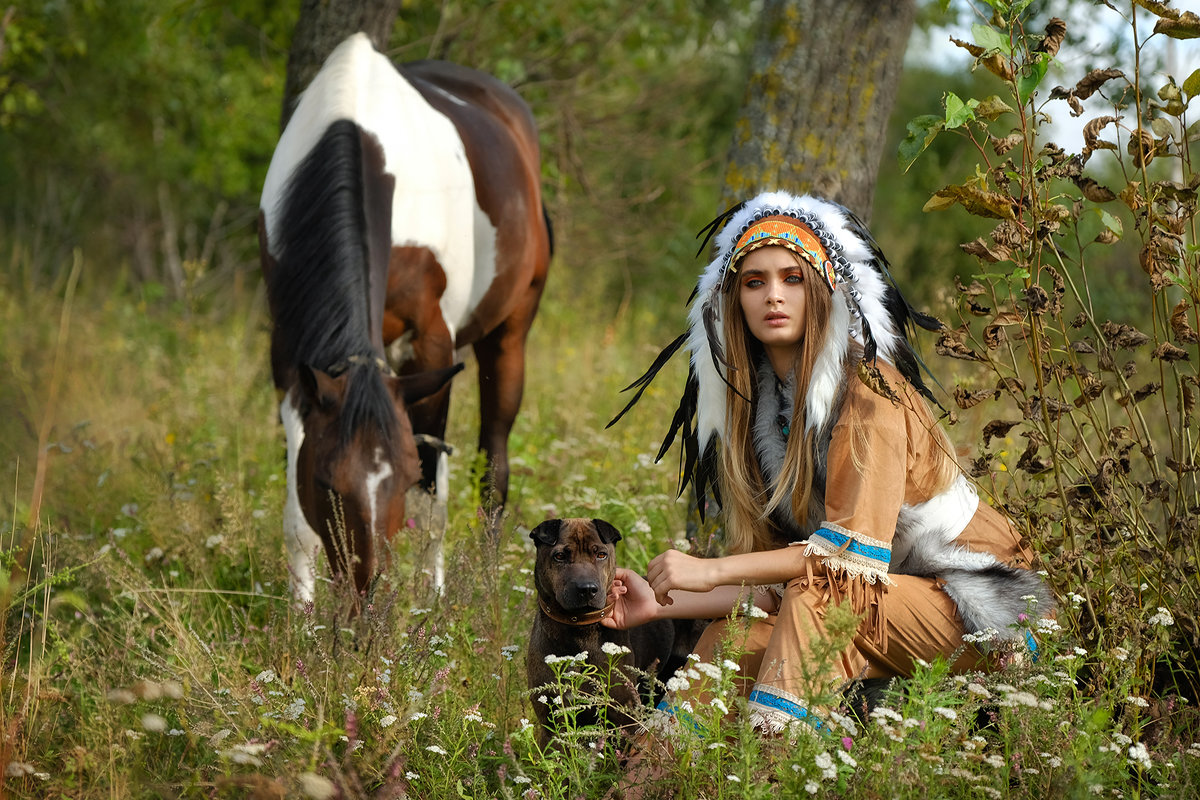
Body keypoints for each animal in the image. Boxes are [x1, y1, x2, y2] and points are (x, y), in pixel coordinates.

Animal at [260, 34, 549, 604]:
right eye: (326, 483)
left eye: (399, 477)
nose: (364, 590)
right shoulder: (290, 353)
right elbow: (297, 515)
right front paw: (300, 615)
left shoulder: (429, 343)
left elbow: (430, 494)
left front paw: (428, 604)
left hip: (507, 336)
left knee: (493, 462)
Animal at [525, 522, 696, 748]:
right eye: (559, 556)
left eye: (601, 555)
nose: (587, 589)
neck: (578, 631)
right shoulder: (551, 723)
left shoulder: (622, 719)